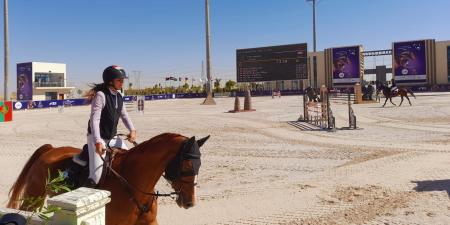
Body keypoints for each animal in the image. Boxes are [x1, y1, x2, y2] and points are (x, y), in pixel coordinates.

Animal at [6, 133, 209, 224]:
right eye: (187, 165)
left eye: (199, 165)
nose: (190, 202)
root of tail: (50, 149)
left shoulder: (150, 222)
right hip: (33, 199)